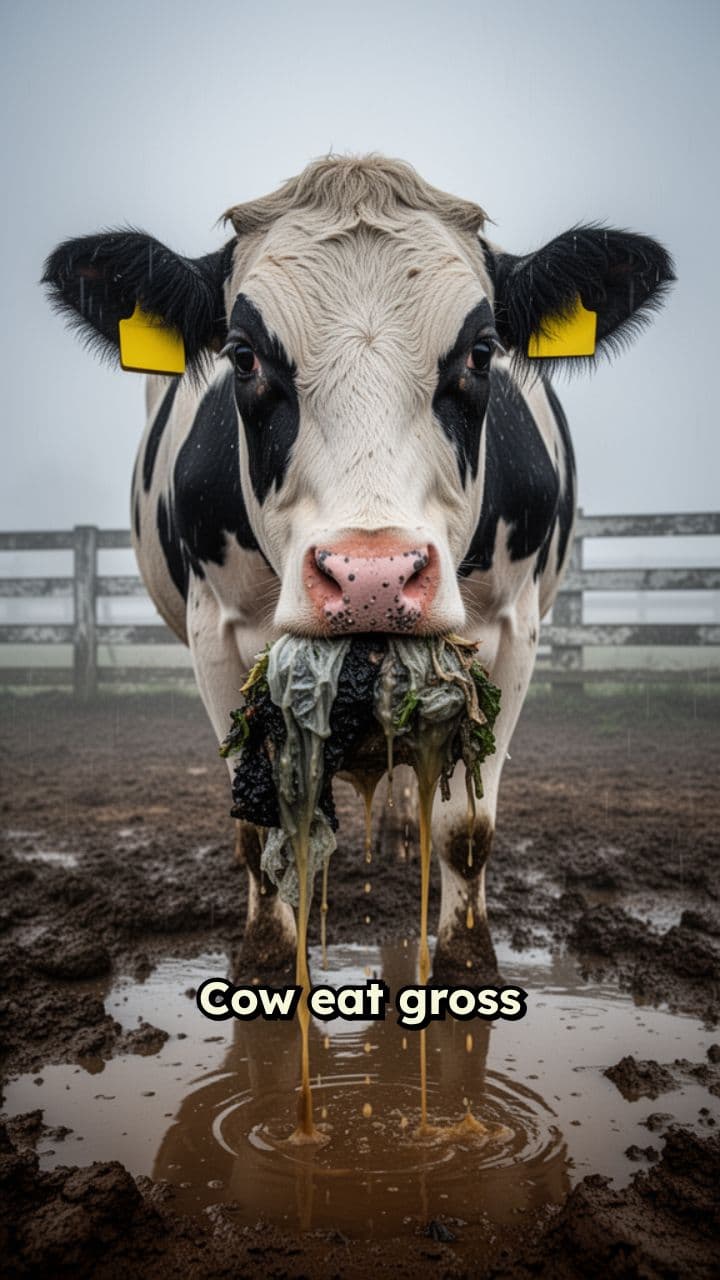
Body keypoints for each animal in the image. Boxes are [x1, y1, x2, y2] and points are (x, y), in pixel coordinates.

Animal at [43, 154, 673, 982]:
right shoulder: (216, 629)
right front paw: (266, 963)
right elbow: (257, 829)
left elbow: (469, 827)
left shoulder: (514, 628)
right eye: (243, 355)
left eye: (482, 352)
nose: (371, 577)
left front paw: (469, 962)